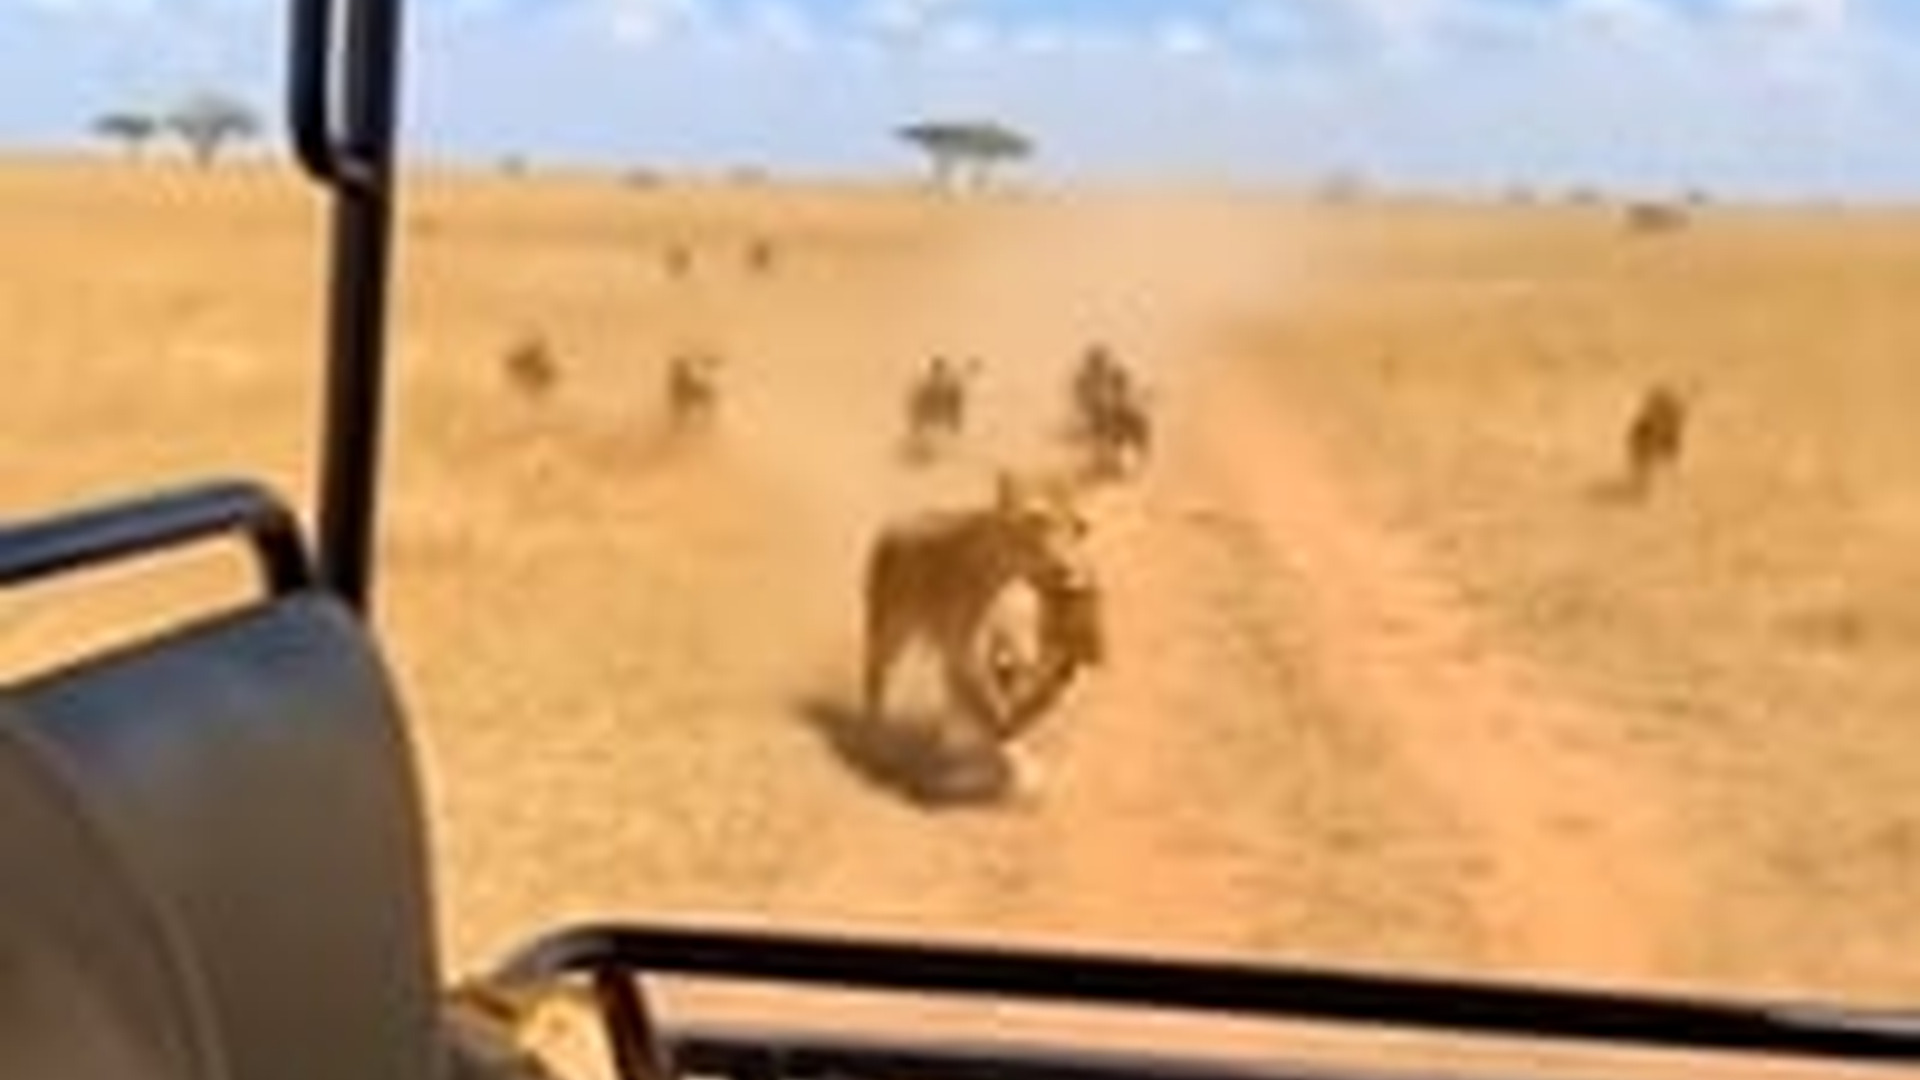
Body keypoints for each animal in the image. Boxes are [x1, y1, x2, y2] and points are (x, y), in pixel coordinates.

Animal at [862, 471, 1105, 748]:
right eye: (1037, 519)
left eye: (1080, 526)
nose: (1065, 568)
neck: (1008, 579)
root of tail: (896, 523)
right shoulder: (964, 653)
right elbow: (987, 702)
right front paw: (1009, 740)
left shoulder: (1015, 648)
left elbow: (1027, 680)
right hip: (888, 632)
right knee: (877, 676)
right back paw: (878, 730)